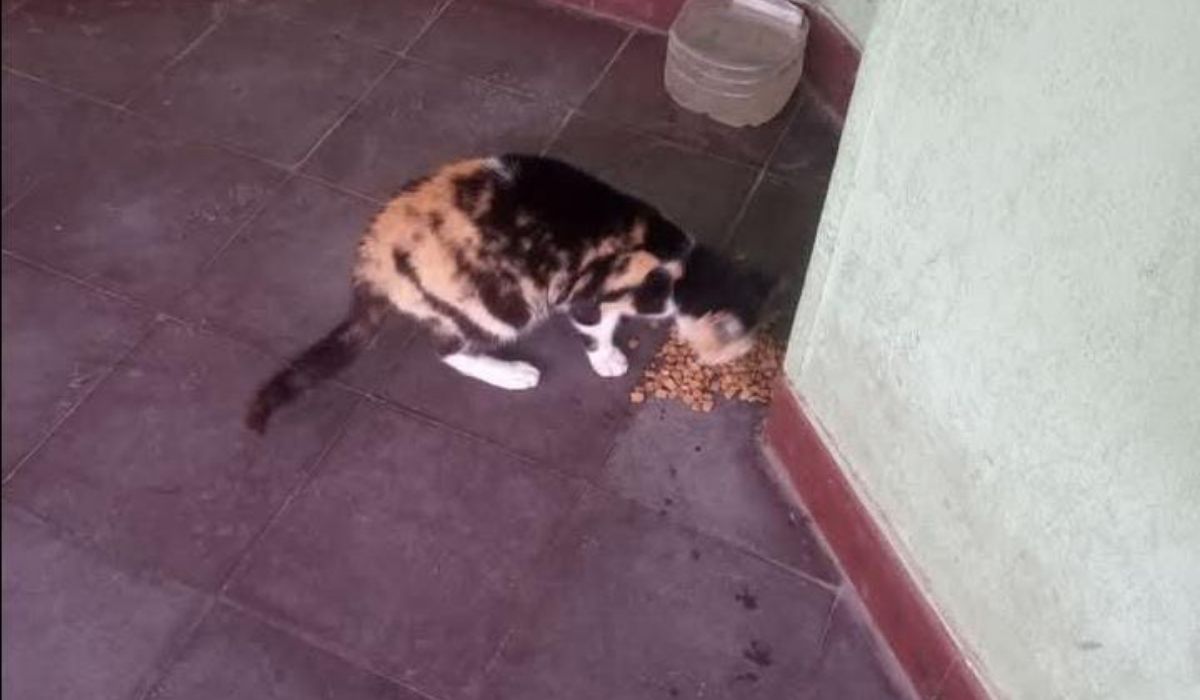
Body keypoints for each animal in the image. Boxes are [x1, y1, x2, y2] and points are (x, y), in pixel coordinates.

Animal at [246, 154, 771, 433]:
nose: (746, 354)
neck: (684, 270)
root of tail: (372, 254)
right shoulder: (587, 291)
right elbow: (595, 325)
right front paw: (607, 358)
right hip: (497, 302)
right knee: (448, 350)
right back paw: (513, 373)